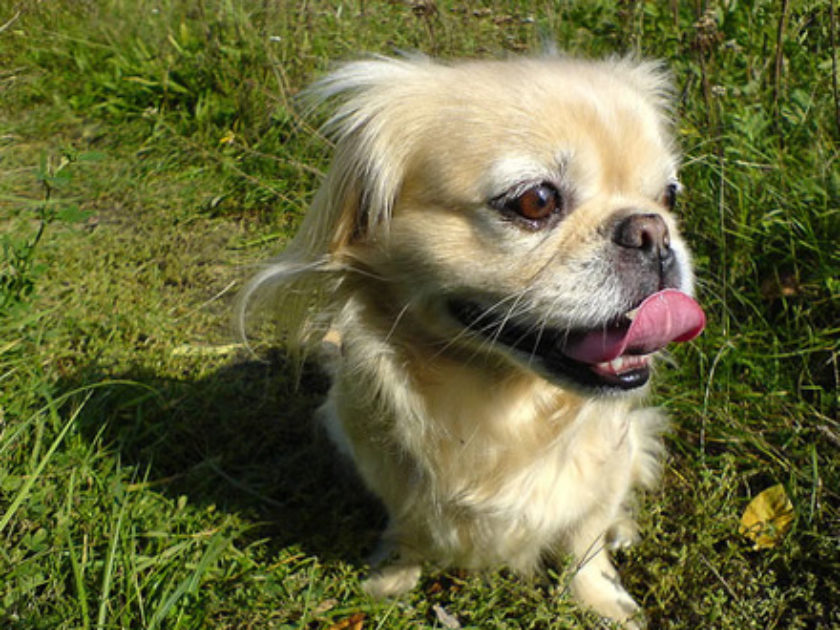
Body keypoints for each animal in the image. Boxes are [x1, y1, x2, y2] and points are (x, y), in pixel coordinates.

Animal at [240, 54, 704, 628]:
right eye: (536, 201)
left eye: (669, 196)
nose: (653, 231)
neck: (504, 406)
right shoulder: (390, 471)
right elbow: (409, 529)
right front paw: (391, 577)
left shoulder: (604, 472)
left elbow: (585, 542)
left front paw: (603, 601)